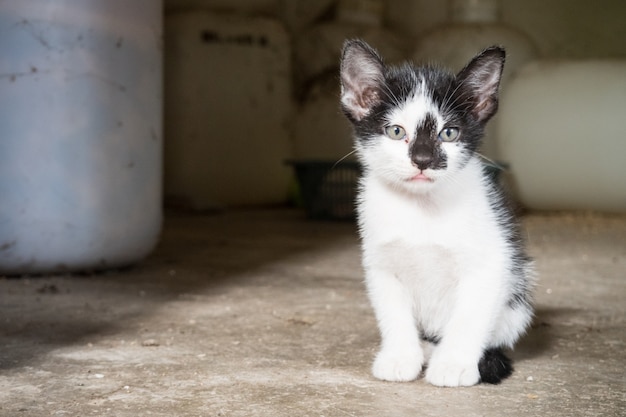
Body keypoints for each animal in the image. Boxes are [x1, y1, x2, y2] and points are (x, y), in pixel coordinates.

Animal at [338, 40, 532, 386]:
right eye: (396, 131)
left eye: (449, 133)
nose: (423, 159)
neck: (422, 209)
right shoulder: (381, 263)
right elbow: (393, 313)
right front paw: (400, 357)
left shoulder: (491, 263)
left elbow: (469, 317)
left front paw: (453, 364)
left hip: (517, 302)